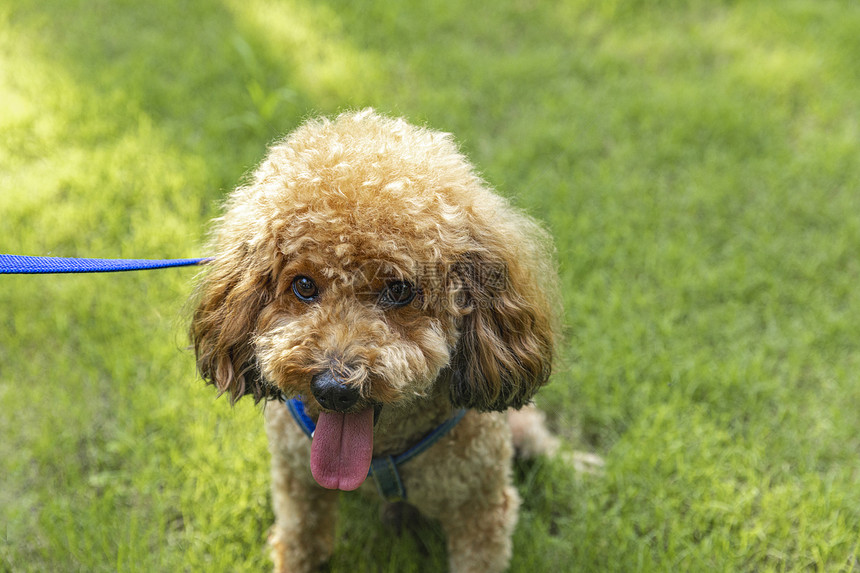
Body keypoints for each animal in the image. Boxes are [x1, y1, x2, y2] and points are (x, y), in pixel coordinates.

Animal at [189, 109, 564, 568]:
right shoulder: (297, 483)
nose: (334, 389)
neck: (378, 453)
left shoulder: (481, 510)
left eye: (400, 290)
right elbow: (300, 541)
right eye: (303, 285)